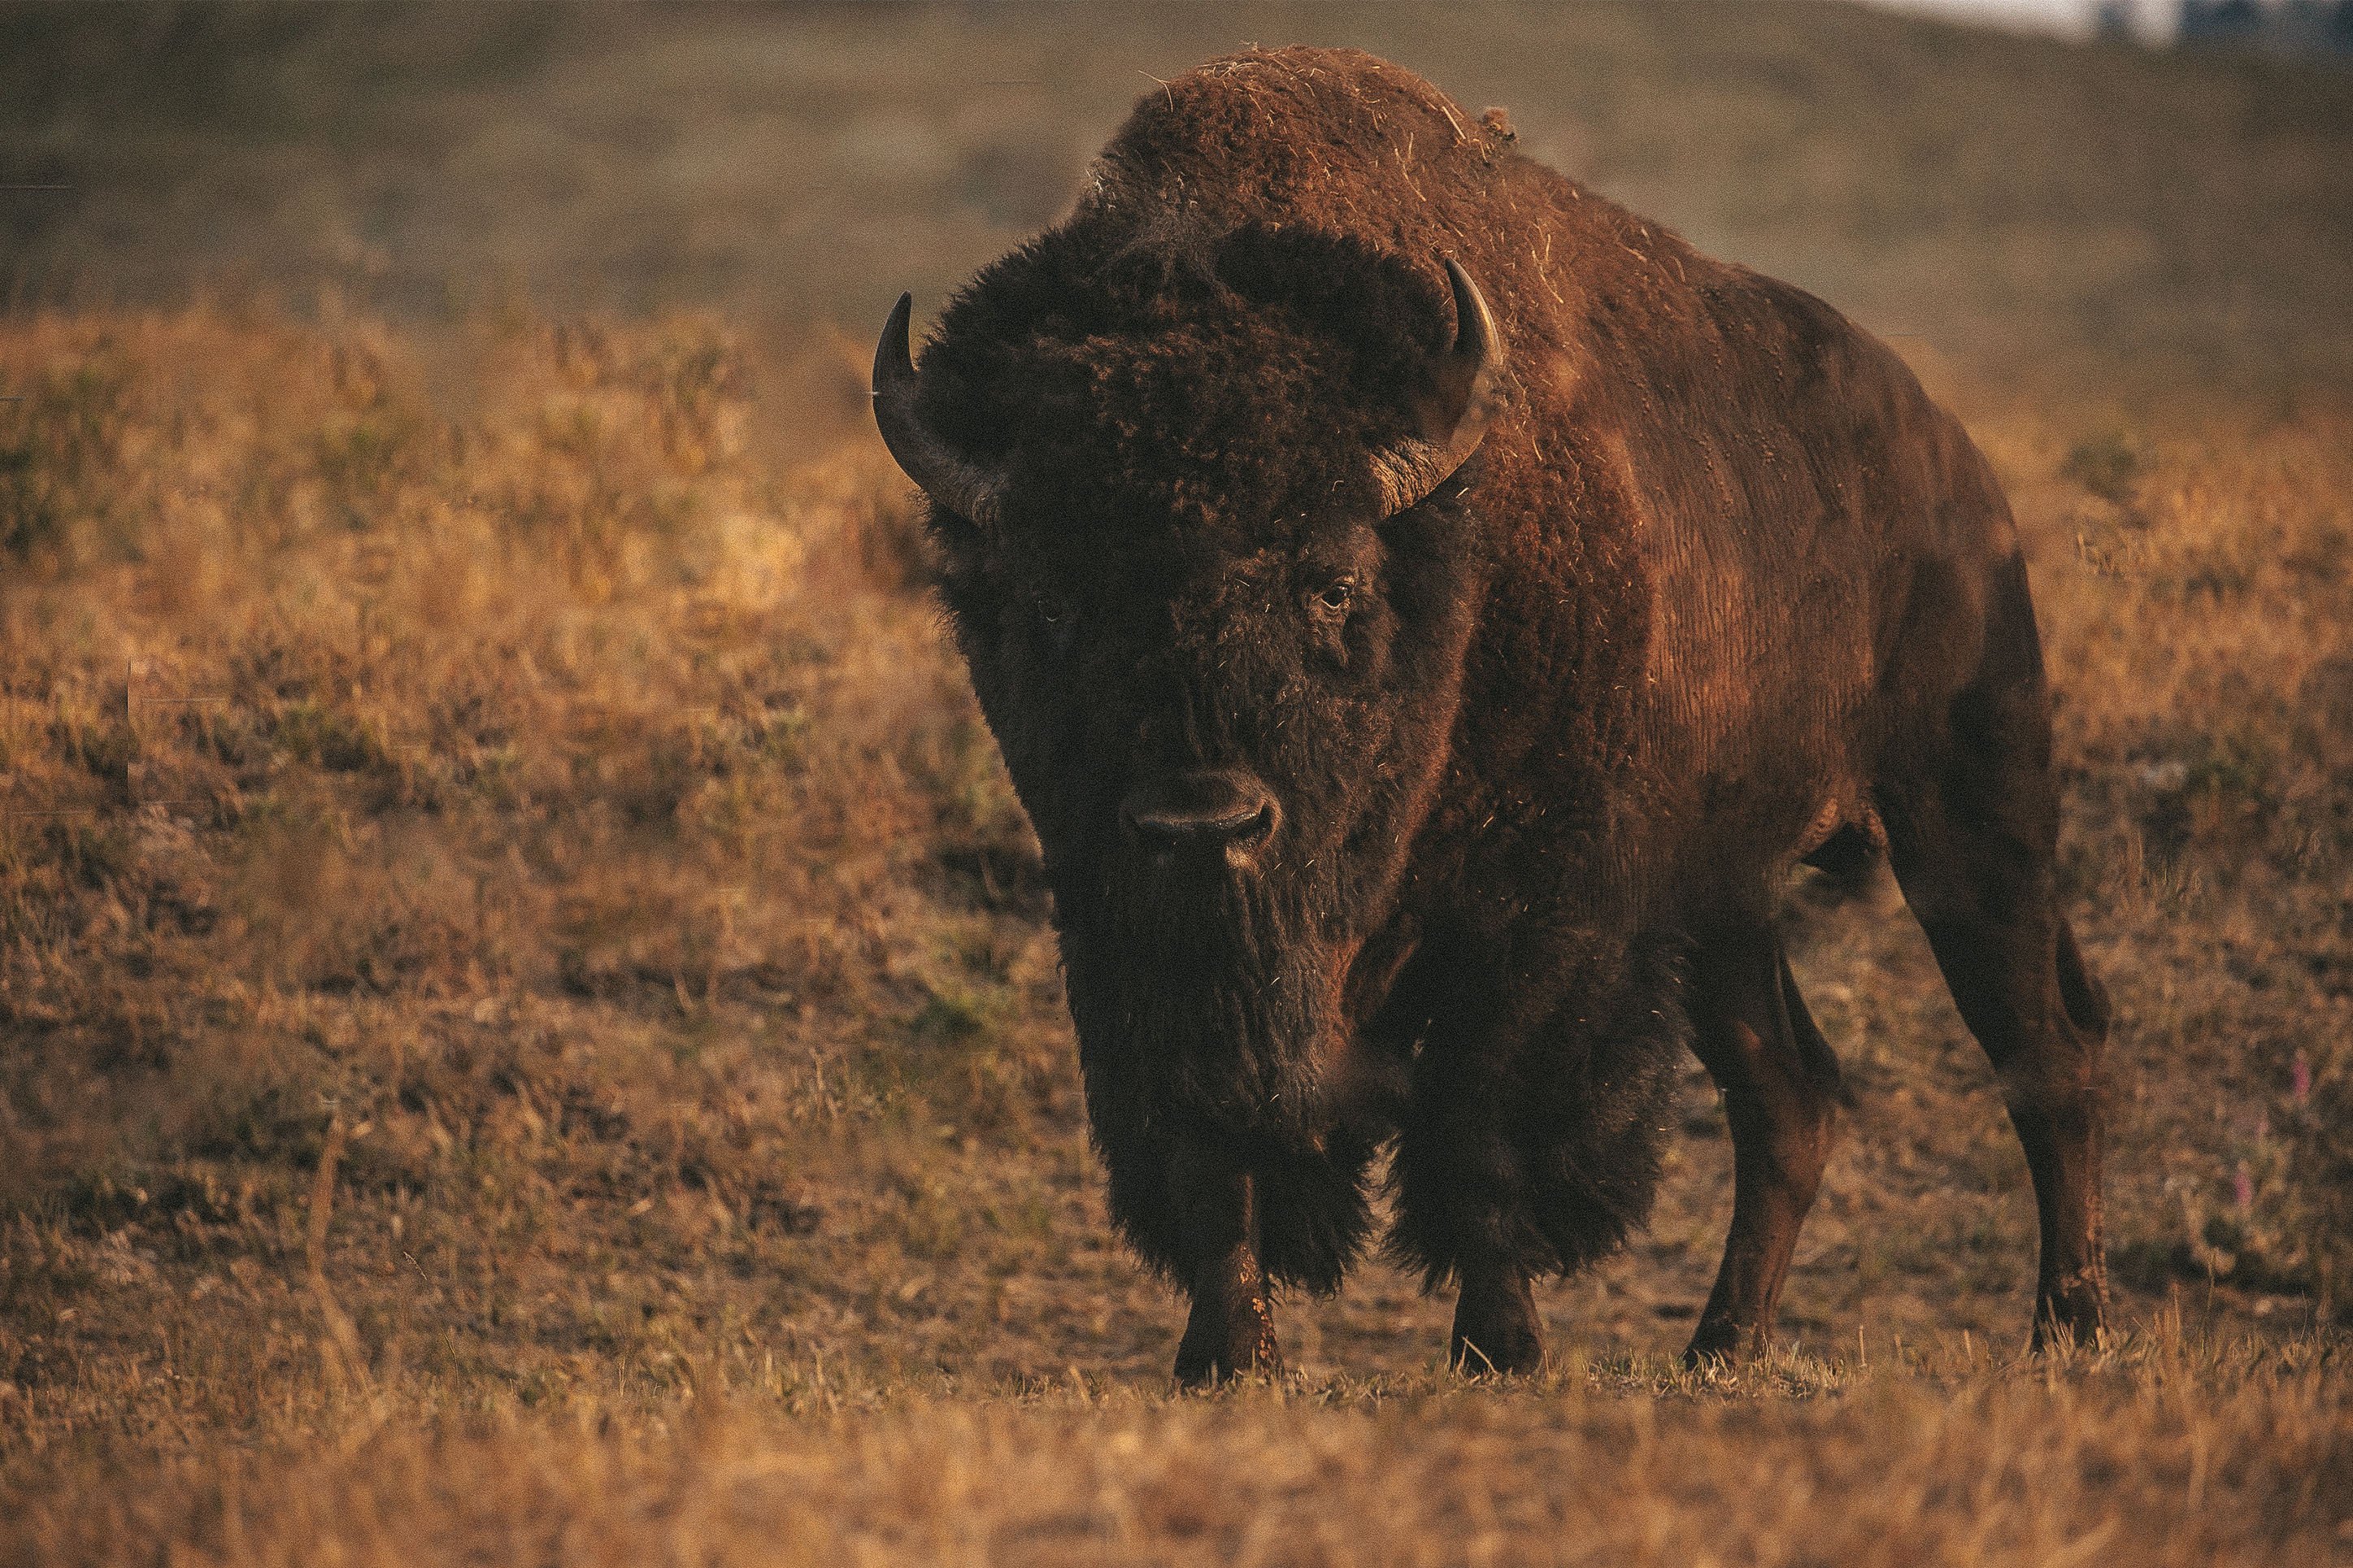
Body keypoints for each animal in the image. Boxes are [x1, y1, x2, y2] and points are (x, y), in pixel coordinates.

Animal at [865, 42, 2117, 1382]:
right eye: (1049, 599)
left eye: (1333, 581)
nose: (1204, 823)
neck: (1443, 543)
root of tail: (1955, 467)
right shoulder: (1123, 924)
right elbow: (1204, 1138)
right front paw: (1228, 1354)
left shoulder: (1533, 923)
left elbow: (1483, 1126)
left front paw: (1497, 1345)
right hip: (1724, 896)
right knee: (1789, 1094)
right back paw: (1720, 1347)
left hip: (1967, 811)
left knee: (2045, 1056)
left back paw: (2070, 1328)